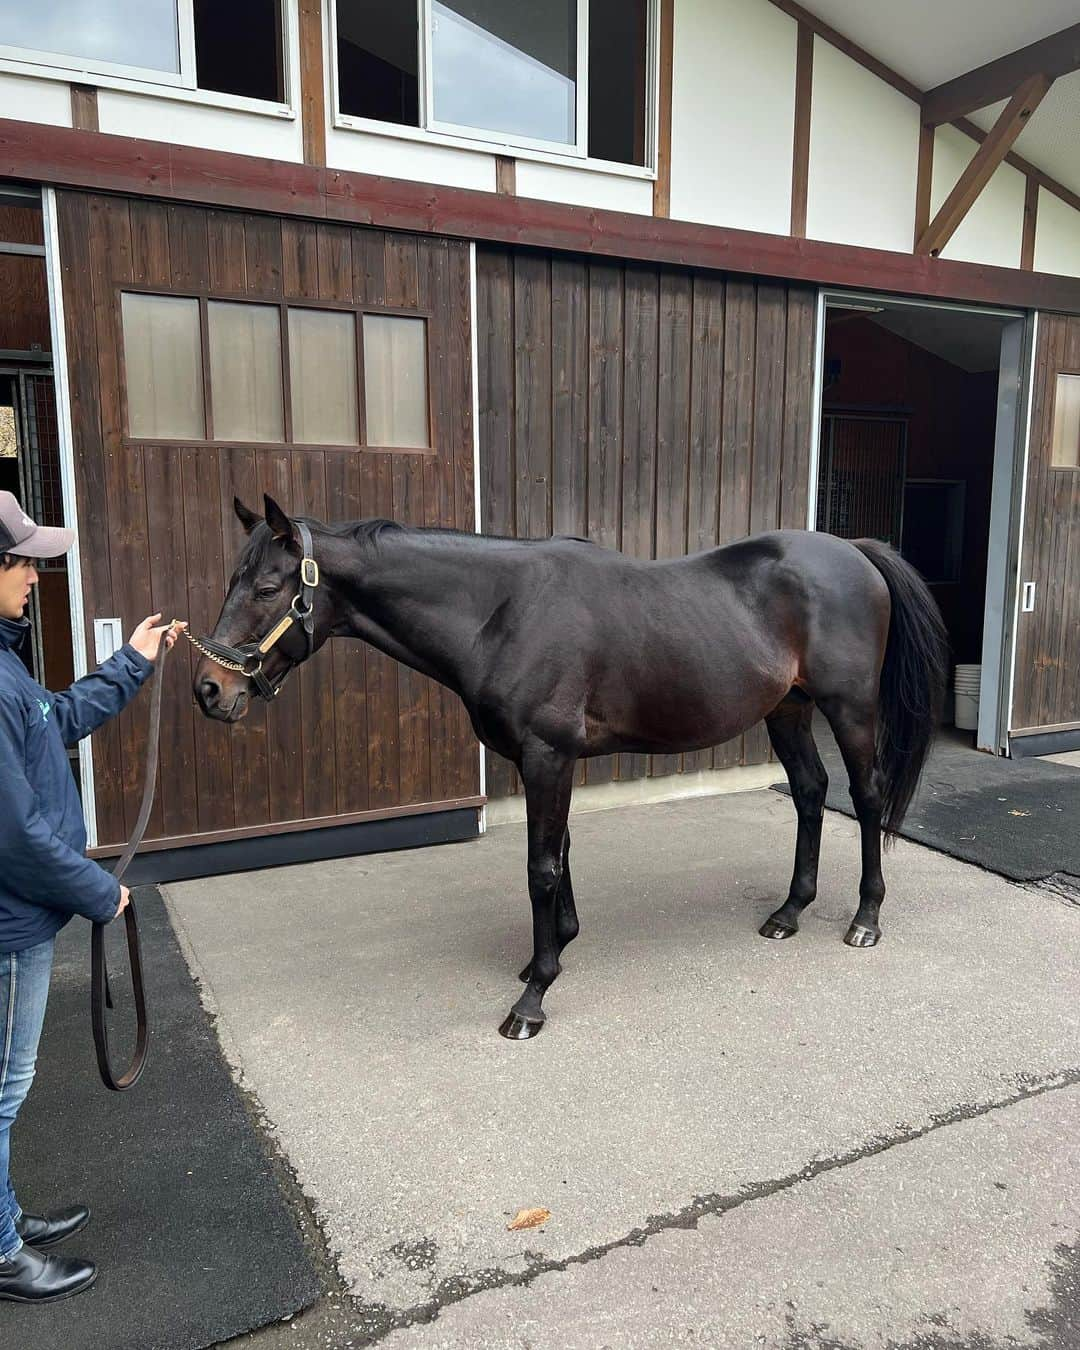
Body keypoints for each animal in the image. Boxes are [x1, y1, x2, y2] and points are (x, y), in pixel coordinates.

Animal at [191, 502, 945, 1036]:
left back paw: (866, 917)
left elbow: (541, 869)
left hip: (849, 709)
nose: (209, 691)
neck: (499, 610)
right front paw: (549, 952)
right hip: (787, 710)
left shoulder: (547, 755)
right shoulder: (548, 761)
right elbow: (561, 852)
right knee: (812, 793)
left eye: (267, 587)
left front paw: (533, 996)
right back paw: (790, 910)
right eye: (232, 580)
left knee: (867, 797)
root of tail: (854, 552)